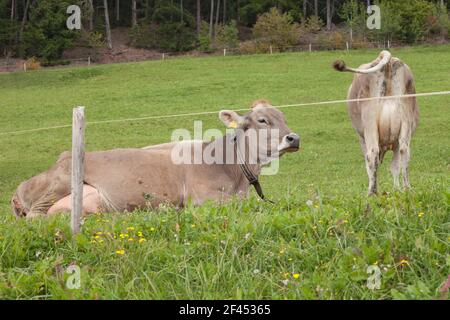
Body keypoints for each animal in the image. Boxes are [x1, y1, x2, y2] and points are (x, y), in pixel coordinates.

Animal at [11, 100, 298, 218]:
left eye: (284, 117)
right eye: (262, 120)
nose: (294, 138)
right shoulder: (203, 199)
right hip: (63, 185)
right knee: (37, 216)